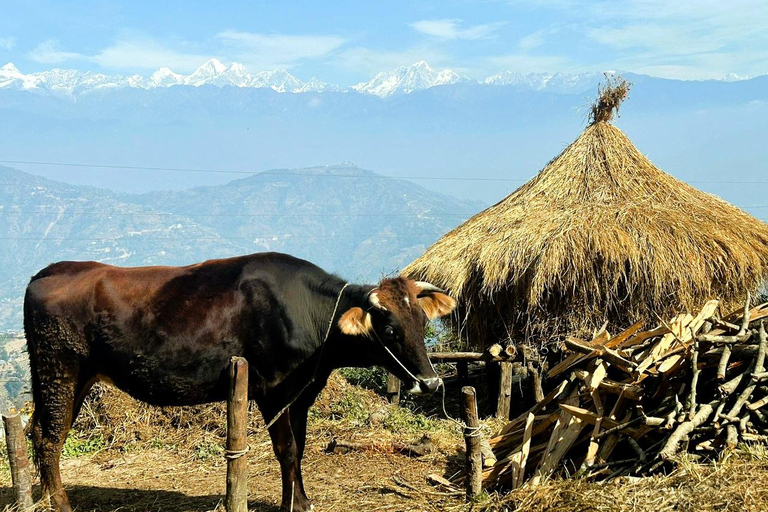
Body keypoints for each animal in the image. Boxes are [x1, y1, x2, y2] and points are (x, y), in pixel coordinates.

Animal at [24, 252, 456, 512]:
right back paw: (59, 504)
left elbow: (300, 449)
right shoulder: (273, 390)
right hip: (60, 369)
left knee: (39, 430)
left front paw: (302, 500)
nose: (431, 384)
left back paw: (42, 496)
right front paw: (292, 505)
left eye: (422, 323)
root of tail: (54, 268)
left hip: (62, 377)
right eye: (390, 329)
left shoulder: (300, 395)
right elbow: (287, 451)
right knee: (50, 436)